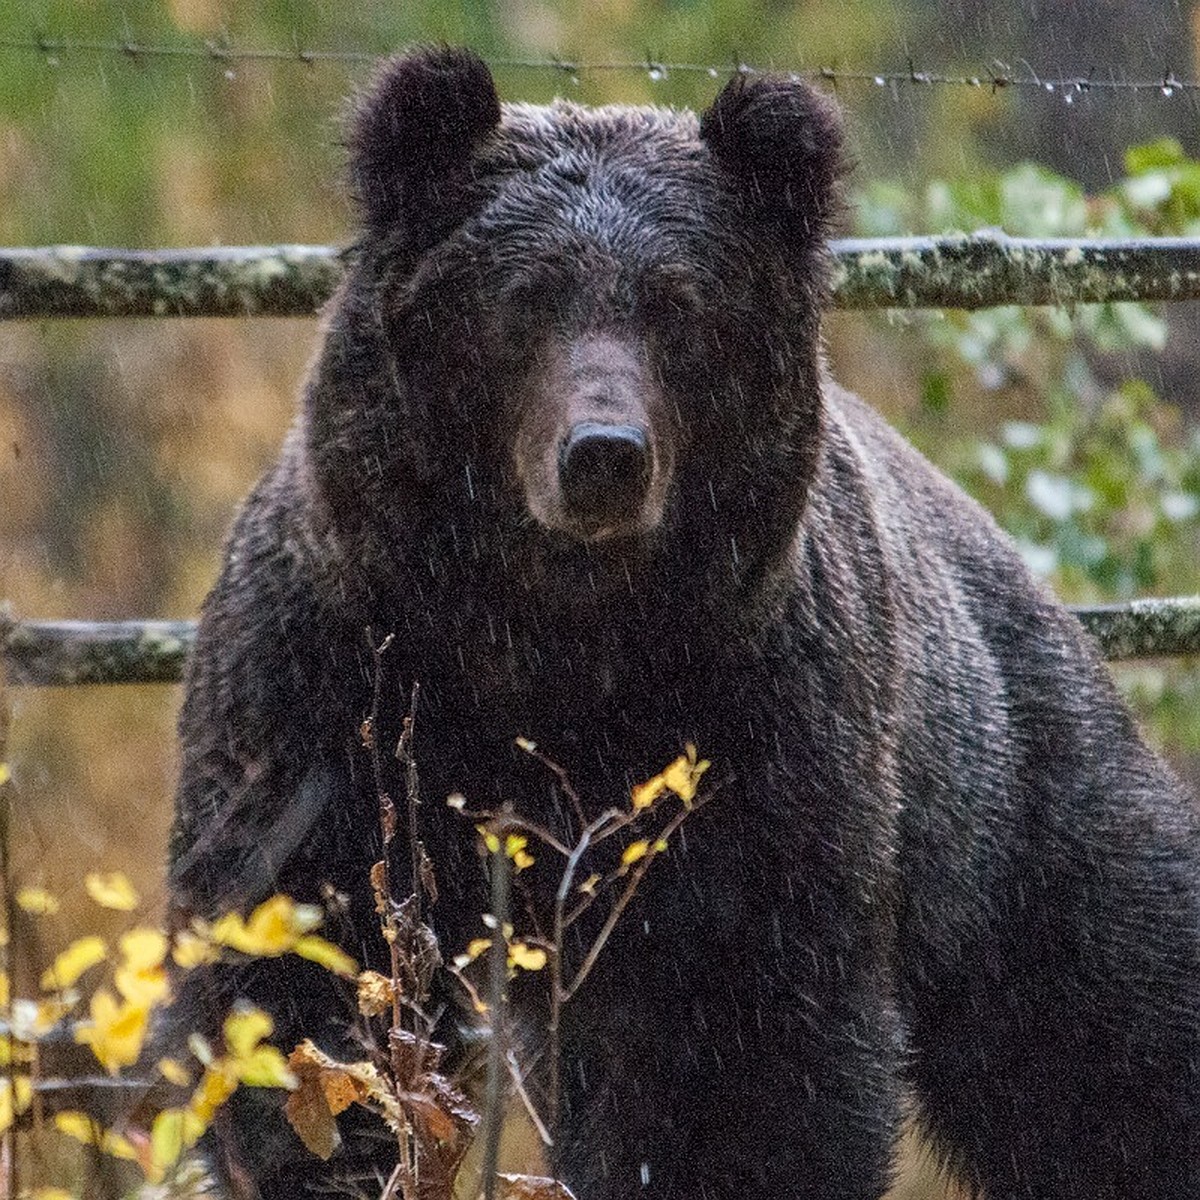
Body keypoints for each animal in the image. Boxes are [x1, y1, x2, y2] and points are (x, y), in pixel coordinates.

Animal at [169, 44, 1200, 1200]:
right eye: (526, 298)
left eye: (678, 306)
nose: (605, 456)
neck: (550, 639)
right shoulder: (330, 690)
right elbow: (297, 977)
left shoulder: (755, 727)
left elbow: (732, 1051)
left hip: (1014, 812)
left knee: (1109, 1043)